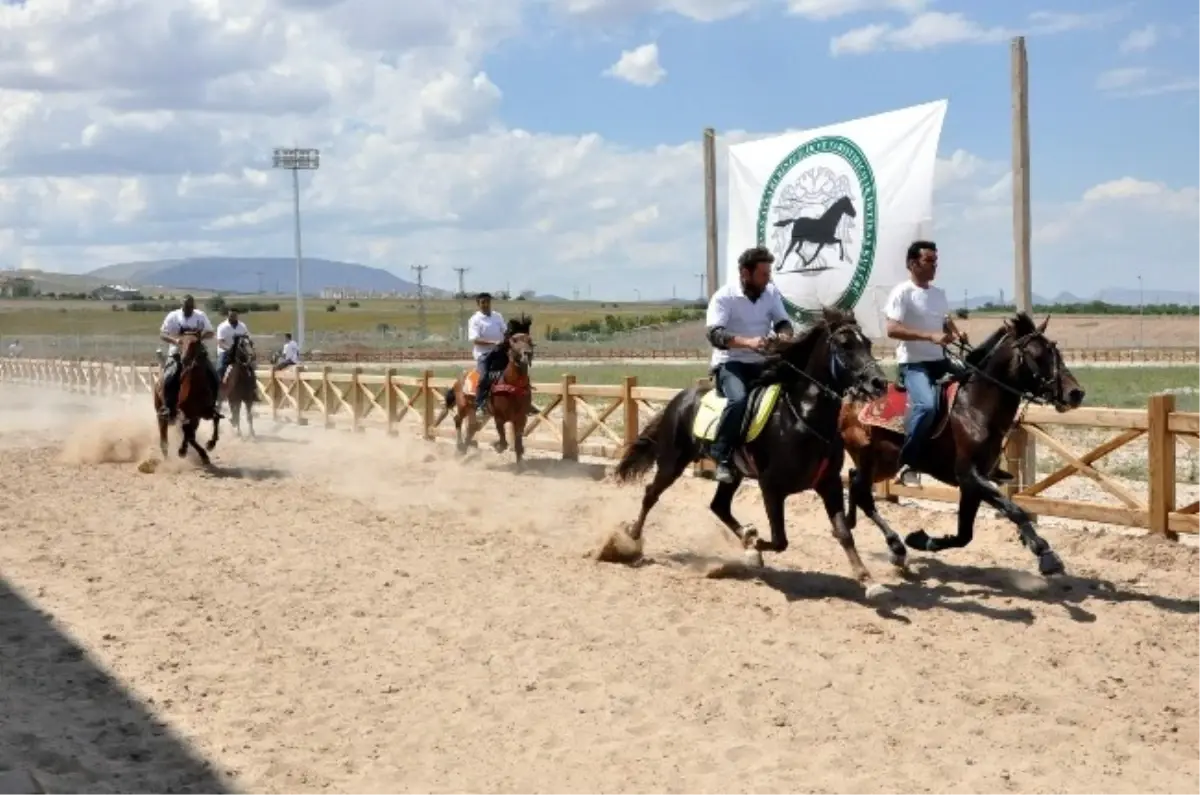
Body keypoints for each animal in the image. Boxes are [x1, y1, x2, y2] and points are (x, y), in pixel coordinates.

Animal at [153, 331, 222, 468]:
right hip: (161, 414)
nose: (184, 359)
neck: (196, 387)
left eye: (196, 342)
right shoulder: (184, 413)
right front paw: (182, 451)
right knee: (165, 439)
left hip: (195, 417)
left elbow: (216, 418)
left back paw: (203, 455)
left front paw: (210, 444)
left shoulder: (205, 411)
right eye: (180, 341)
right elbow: (188, 432)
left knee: (191, 435)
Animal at [446, 314, 535, 470]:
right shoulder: (499, 417)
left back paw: (464, 451)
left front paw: (520, 466)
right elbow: (503, 442)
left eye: (530, 340)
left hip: (479, 412)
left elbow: (518, 444)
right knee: (458, 420)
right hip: (464, 406)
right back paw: (459, 447)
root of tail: (459, 379)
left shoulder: (521, 418)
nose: (527, 354)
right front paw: (496, 445)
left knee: (472, 428)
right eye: (514, 340)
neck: (511, 384)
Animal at [597, 307, 892, 600]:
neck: (802, 418)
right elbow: (780, 540)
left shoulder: (828, 483)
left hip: (733, 473)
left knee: (718, 505)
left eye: (868, 343)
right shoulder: (771, 486)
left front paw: (868, 580)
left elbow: (843, 532)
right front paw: (753, 548)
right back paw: (630, 539)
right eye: (844, 345)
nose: (879, 382)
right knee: (651, 494)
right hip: (672, 462)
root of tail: (679, 399)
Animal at [835, 312, 1089, 578]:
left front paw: (921, 540)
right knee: (862, 492)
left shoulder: (973, 484)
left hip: (883, 464)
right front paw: (1045, 553)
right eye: (1038, 356)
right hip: (870, 460)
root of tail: (851, 397)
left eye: (1056, 352)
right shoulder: (969, 476)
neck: (975, 409)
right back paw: (895, 547)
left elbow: (964, 535)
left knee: (853, 479)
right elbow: (1014, 510)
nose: (1075, 393)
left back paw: (857, 524)